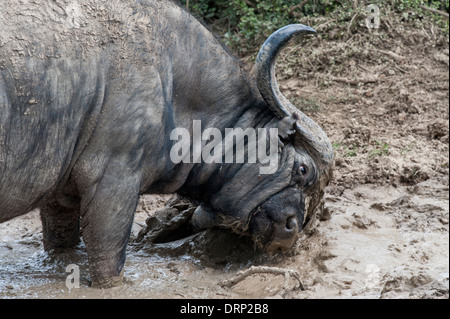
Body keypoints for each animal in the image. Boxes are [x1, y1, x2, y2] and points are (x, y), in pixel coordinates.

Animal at [0, 0, 330, 288]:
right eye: (303, 169)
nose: (291, 228)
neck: (171, 79)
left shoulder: (60, 195)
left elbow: (62, 242)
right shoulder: (113, 183)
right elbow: (108, 257)